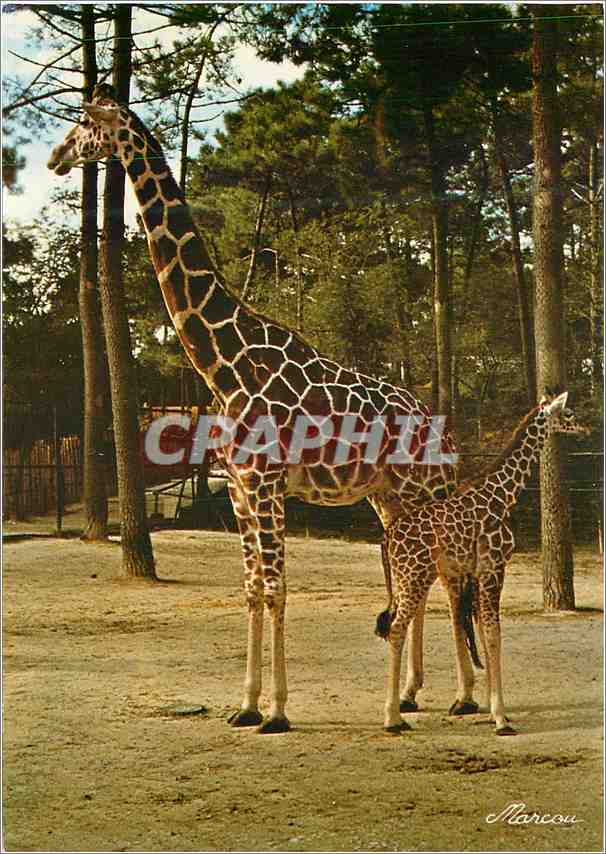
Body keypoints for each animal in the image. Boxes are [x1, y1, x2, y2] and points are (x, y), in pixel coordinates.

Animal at [47, 83, 458, 733]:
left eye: (87, 123)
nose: (55, 158)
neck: (225, 363)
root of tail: (441, 426)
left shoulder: (266, 483)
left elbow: (277, 587)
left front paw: (279, 710)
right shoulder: (240, 487)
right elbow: (250, 588)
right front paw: (244, 704)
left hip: (425, 492)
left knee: (442, 572)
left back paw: (458, 696)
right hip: (389, 498)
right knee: (414, 574)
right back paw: (415, 693)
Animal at [376, 392, 589, 735]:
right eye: (568, 413)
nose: (585, 428)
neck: (502, 496)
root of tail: (387, 539)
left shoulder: (477, 573)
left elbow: (481, 631)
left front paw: (491, 710)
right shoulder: (494, 567)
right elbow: (493, 633)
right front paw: (501, 718)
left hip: (407, 578)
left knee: (396, 627)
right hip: (414, 575)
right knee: (395, 629)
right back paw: (392, 718)